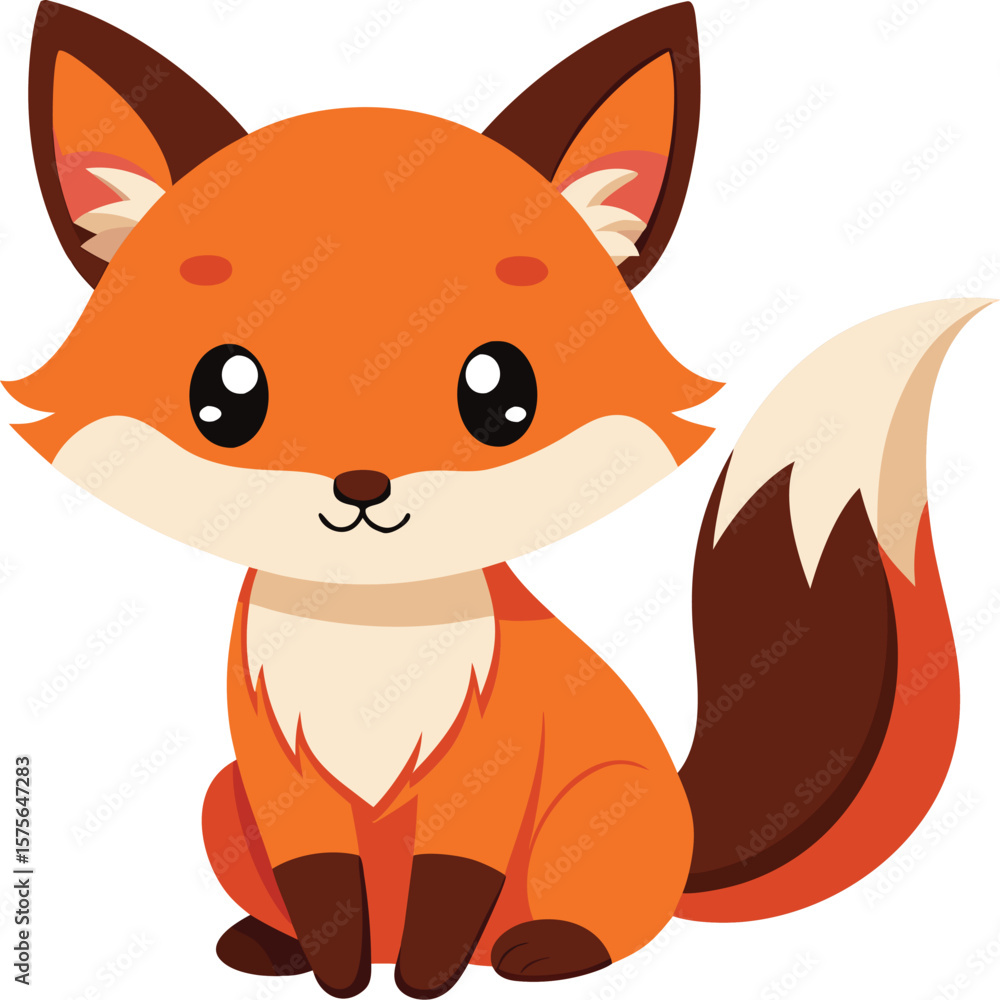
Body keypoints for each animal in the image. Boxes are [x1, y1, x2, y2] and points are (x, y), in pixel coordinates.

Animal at [3, 2, 992, 997]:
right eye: (225, 395)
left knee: (599, 925)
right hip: (220, 797)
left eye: (500, 394)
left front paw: (423, 982)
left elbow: (452, 881)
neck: (373, 643)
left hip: (607, 802)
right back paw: (272, 948)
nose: (362, 488)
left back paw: (543, 948)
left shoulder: (491, 771)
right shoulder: (281, 783)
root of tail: (687, 832)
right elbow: (321, 888)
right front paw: (340, 977)